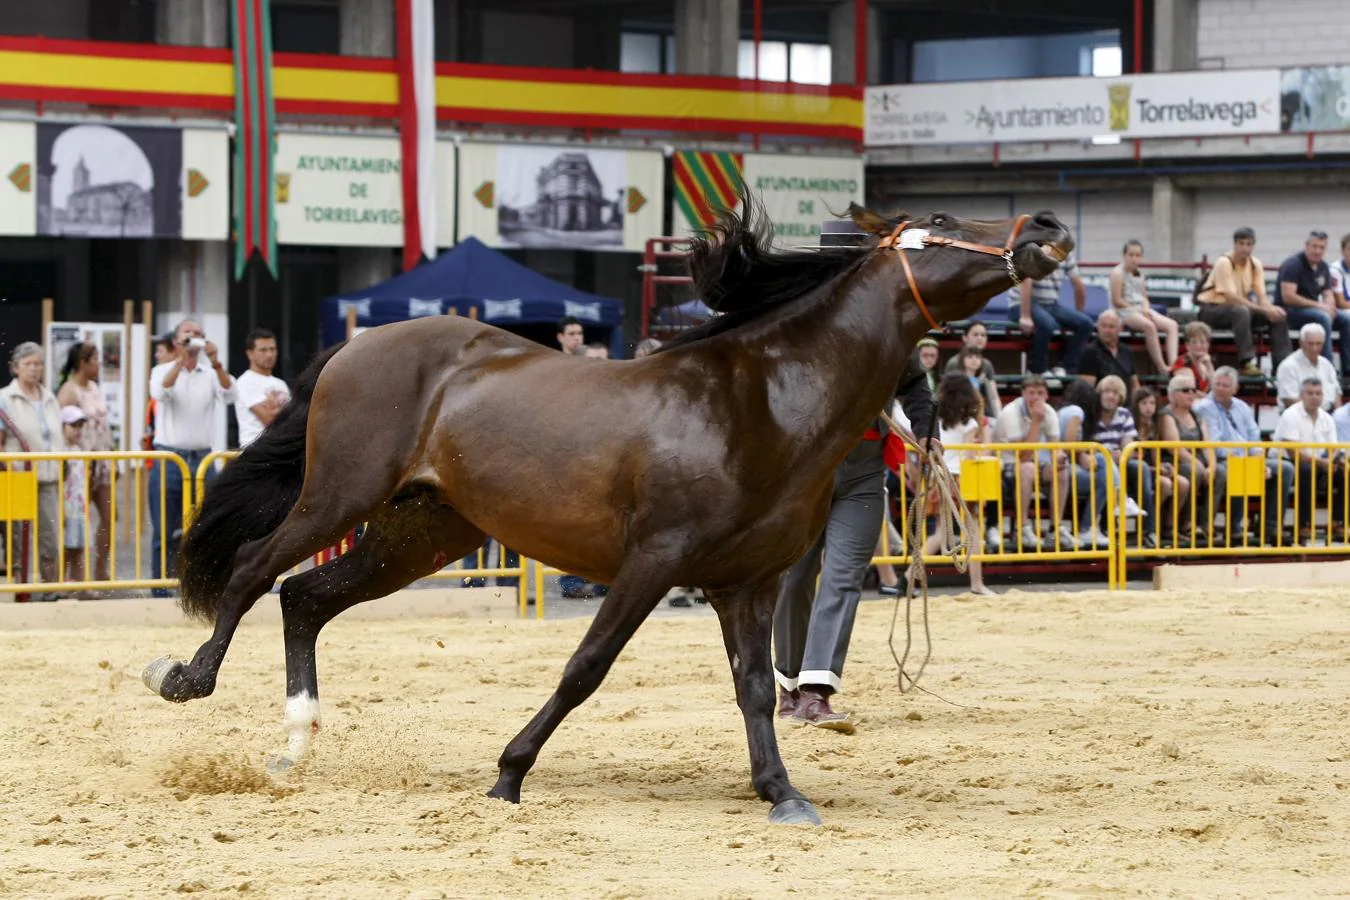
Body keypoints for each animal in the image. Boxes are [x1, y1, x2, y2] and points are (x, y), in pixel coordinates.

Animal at [142, 195, 1069, 825]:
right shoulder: (654, 562)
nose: (1045, 228)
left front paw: (781, 791)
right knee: (256, 570)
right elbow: (584, 668)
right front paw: (509, 774)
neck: (761, 402)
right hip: (341, 493)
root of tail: (355, 345)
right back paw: (186, 678)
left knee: (305, 599)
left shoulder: (748, 583)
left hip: (420, 532)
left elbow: (754, 690)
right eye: (941, 221)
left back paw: (295, 742)